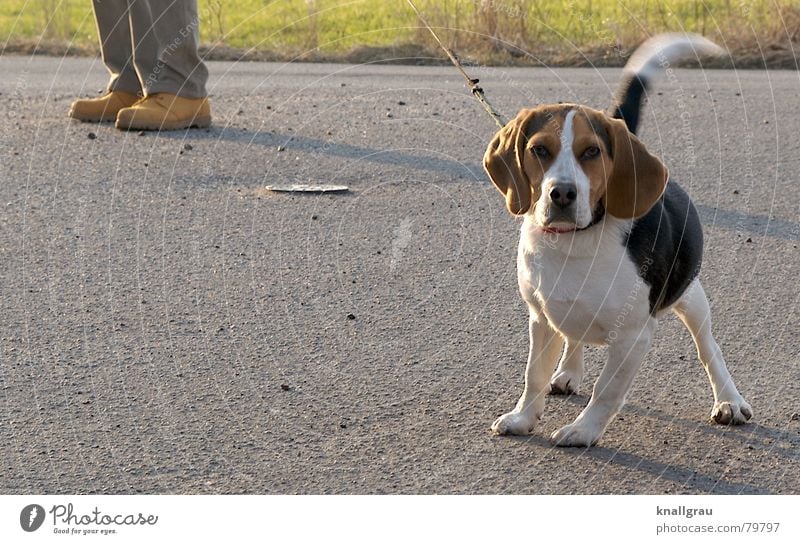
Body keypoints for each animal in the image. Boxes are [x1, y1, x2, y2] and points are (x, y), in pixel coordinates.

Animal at [484, 34, 752, 446]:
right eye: (539, 150)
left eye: (592, 151)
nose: (562, 194)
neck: (577, 241)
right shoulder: (539, 318)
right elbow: (534, 375)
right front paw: (523, 417)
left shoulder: (633, 337)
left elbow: (606, 389)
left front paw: (583, 430)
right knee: (572, 337)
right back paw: (568, 371)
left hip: (691, 298)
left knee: (710, 350)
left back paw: (729, 400)